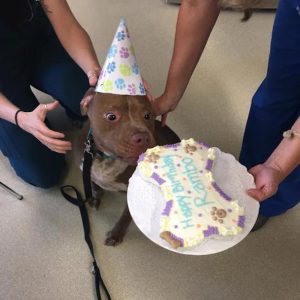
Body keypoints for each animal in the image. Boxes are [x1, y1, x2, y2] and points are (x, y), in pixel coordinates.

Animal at [75, 92, 179, 246]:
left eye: (148, 115)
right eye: (111, 116)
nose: (143, 137)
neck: (108, 158)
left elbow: (126, 215)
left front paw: (116, 234)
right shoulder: (87, 170)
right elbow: (94, 185)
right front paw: (94, 197)